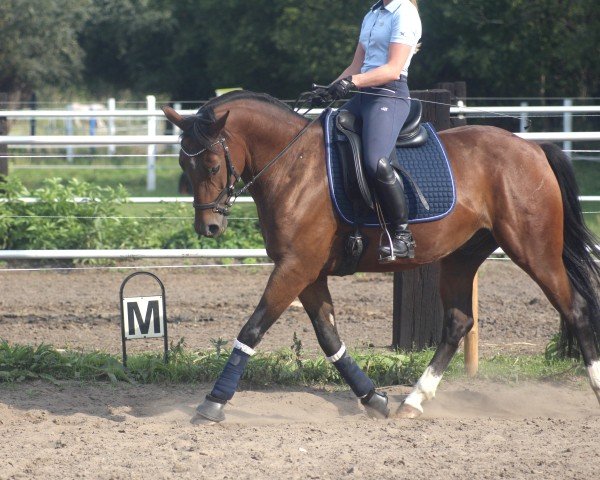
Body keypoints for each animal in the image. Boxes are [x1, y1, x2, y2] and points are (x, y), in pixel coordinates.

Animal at [161, 91, 600, 424]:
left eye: (212, 165)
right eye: (183, 162)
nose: (208, 227)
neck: (293, 165)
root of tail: (532, 147)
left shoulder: (295, 267)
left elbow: (252, 329)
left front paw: (213, 402)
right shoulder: (307, 272)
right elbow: (329, 338)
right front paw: (374, 399)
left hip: (534, 250)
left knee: (576, 308)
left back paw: (595, 386)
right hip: (461, 257)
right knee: (458, 323)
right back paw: (413, 401)